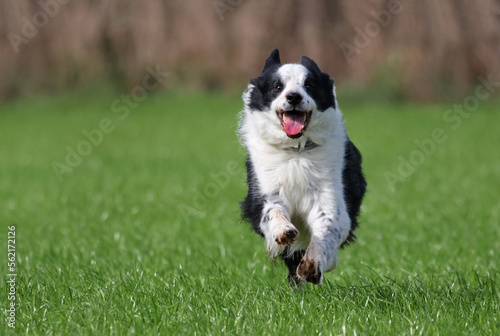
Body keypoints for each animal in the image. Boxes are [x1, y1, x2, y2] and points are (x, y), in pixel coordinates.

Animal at [236, 49, 366, 286]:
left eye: (309, 85)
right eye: (278, 86)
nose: (294, 96)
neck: (296, 151)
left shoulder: (330, 198)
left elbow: (327, 226)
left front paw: (313, 264)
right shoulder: (263, 193)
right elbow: (273, 211)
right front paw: (283, 230)